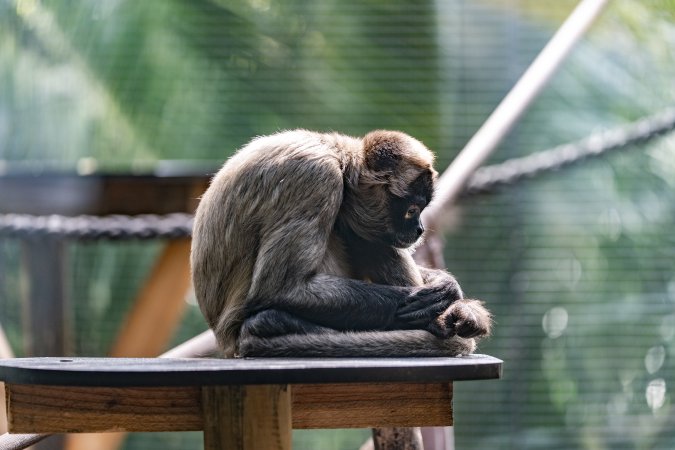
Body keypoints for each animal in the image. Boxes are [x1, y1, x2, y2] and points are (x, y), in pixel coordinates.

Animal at [191, 129, 491, 358]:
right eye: (411, 210)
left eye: (420, 211)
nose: (419, 229)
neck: (335, 154)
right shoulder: (316, 176)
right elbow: (280, 289)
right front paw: (436, 306)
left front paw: (450, 293)